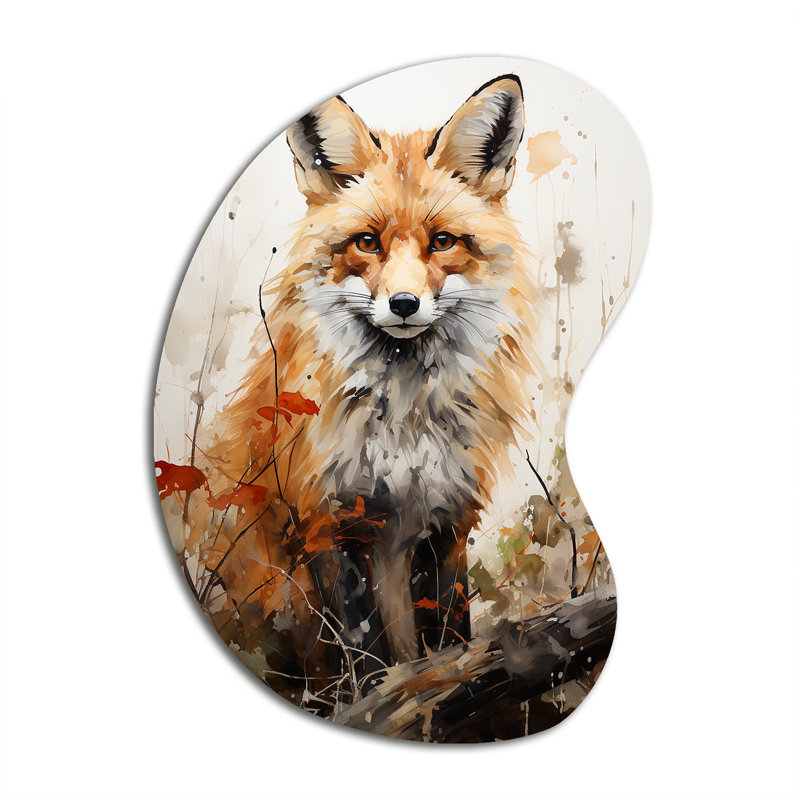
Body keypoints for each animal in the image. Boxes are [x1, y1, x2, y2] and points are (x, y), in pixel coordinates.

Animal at [196, 74, 539, 692]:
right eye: (367, 242)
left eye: (443, 241)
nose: (403, 304)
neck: (403, 421)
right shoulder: (327, 519)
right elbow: (366, 652)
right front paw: (379, 699)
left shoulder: (447, 518)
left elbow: (448, 634)